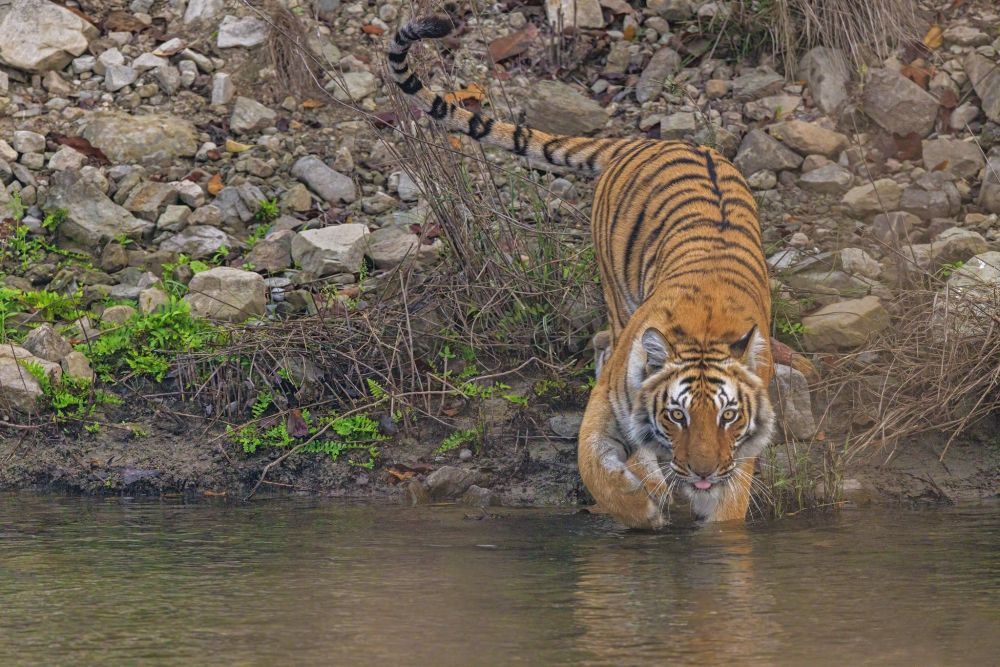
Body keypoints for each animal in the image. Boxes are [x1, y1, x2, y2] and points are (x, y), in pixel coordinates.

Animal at [387, 16, 775, 529]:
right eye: (678, 415)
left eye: (728, 417)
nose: (702, 473)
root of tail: (648, 139)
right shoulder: (607, 409)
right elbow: (596, 468)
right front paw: (641, 506)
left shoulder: (735, 462)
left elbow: (725, 516)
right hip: (617, 292)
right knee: (604, 340)